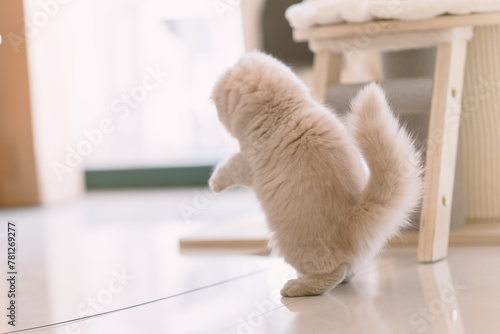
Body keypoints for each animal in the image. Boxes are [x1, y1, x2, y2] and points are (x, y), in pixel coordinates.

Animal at [208, 52, 422, 298]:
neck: (281, 109)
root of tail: (354, 215)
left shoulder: (246, 163)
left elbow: (228, 167)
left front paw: (213, 182)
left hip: (289, 242)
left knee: (332, 272)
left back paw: (296, 287)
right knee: (349, 269)